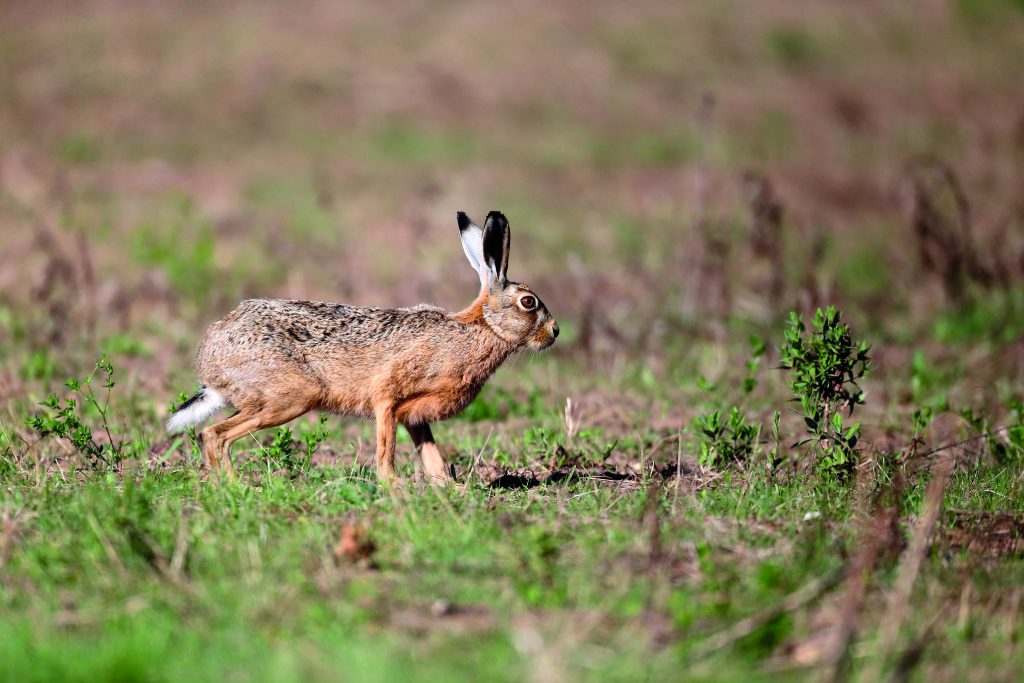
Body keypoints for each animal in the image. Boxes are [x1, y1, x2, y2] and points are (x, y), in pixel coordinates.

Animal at [166, 211, 559, 484]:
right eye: (528, 303)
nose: (554, 332)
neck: (480, 327)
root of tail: (211, 359)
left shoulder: (415, 416)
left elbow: (431, 455)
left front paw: (450, 489)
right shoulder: (387, 395)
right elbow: (386, 448)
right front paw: (394, 486)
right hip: (289, 397)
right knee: (214, 435)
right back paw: (236, 487)